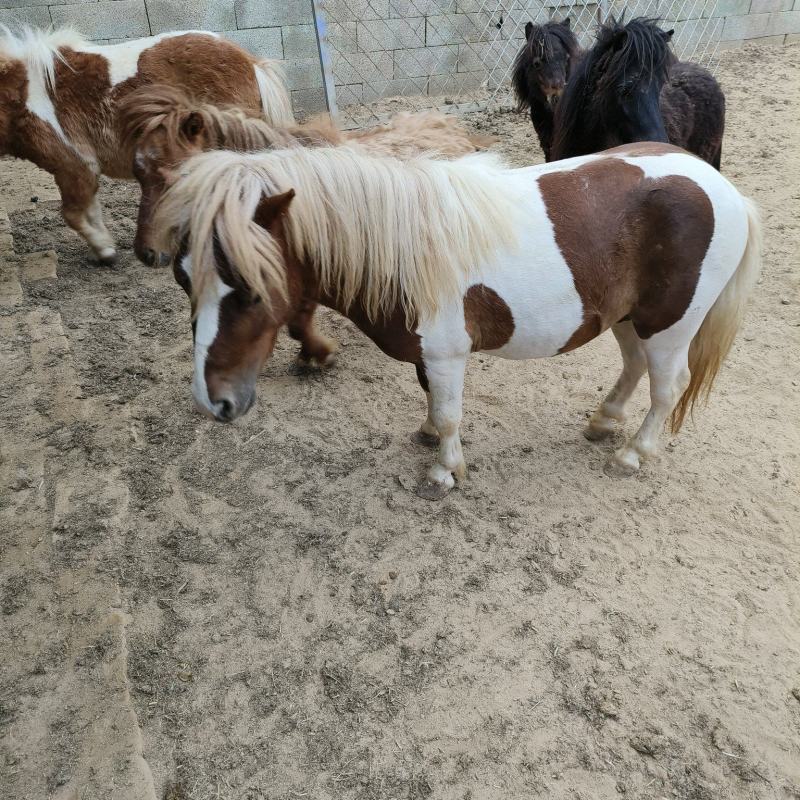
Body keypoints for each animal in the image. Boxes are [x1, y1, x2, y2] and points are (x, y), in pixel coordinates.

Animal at [0, 26, 292, 264]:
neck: (25, 95)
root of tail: (250, 61)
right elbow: (91, 210)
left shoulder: (74, 166)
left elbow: (73, 214)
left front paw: (106, 251)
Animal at [153, 142, 760, 500]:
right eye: (183, 278)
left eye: (251, 288)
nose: (213, 402)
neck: (402, 246)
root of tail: (726, 190)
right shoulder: (430, 355)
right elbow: (430, 400)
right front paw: (426, 436)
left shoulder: (448, 354)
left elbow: (449, 415)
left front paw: (445, 471)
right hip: (628, 317)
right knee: (634, 366)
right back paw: (604, 420)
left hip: (669, 325)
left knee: (667, 387)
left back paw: (633, 453)